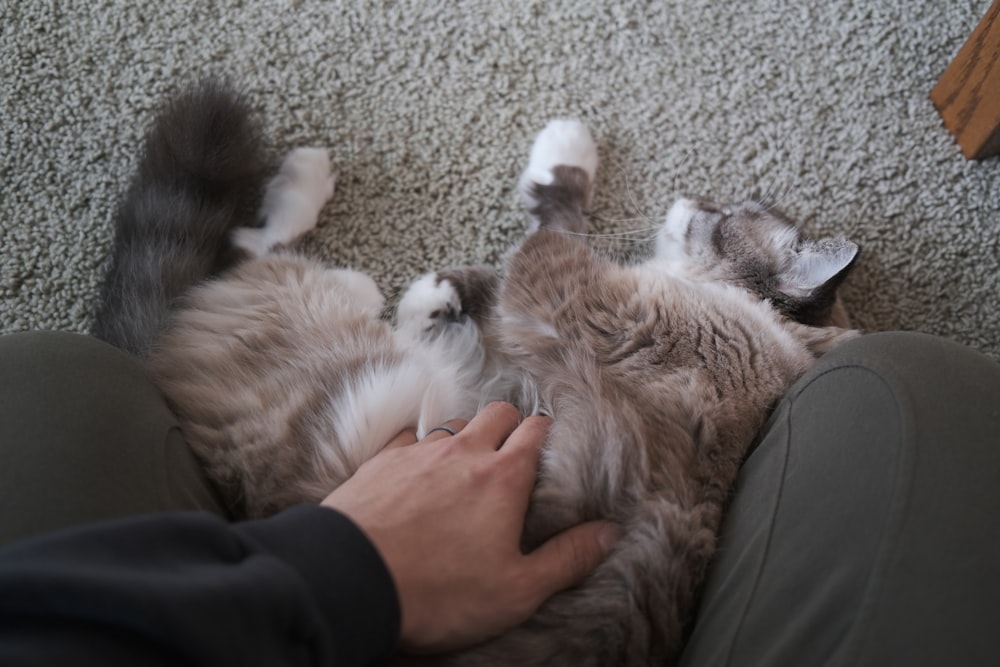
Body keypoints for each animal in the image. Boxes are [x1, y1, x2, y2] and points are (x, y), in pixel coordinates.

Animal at [94, 83, 860, 667]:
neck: (753, 323)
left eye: (724, 220)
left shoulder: (564, 294)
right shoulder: (528, 328)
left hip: (362, 378)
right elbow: (503, 276)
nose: (692, 199)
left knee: (247, 250)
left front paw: (558, 155)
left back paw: (311, 184)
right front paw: (442, 296)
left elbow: (555, 221)